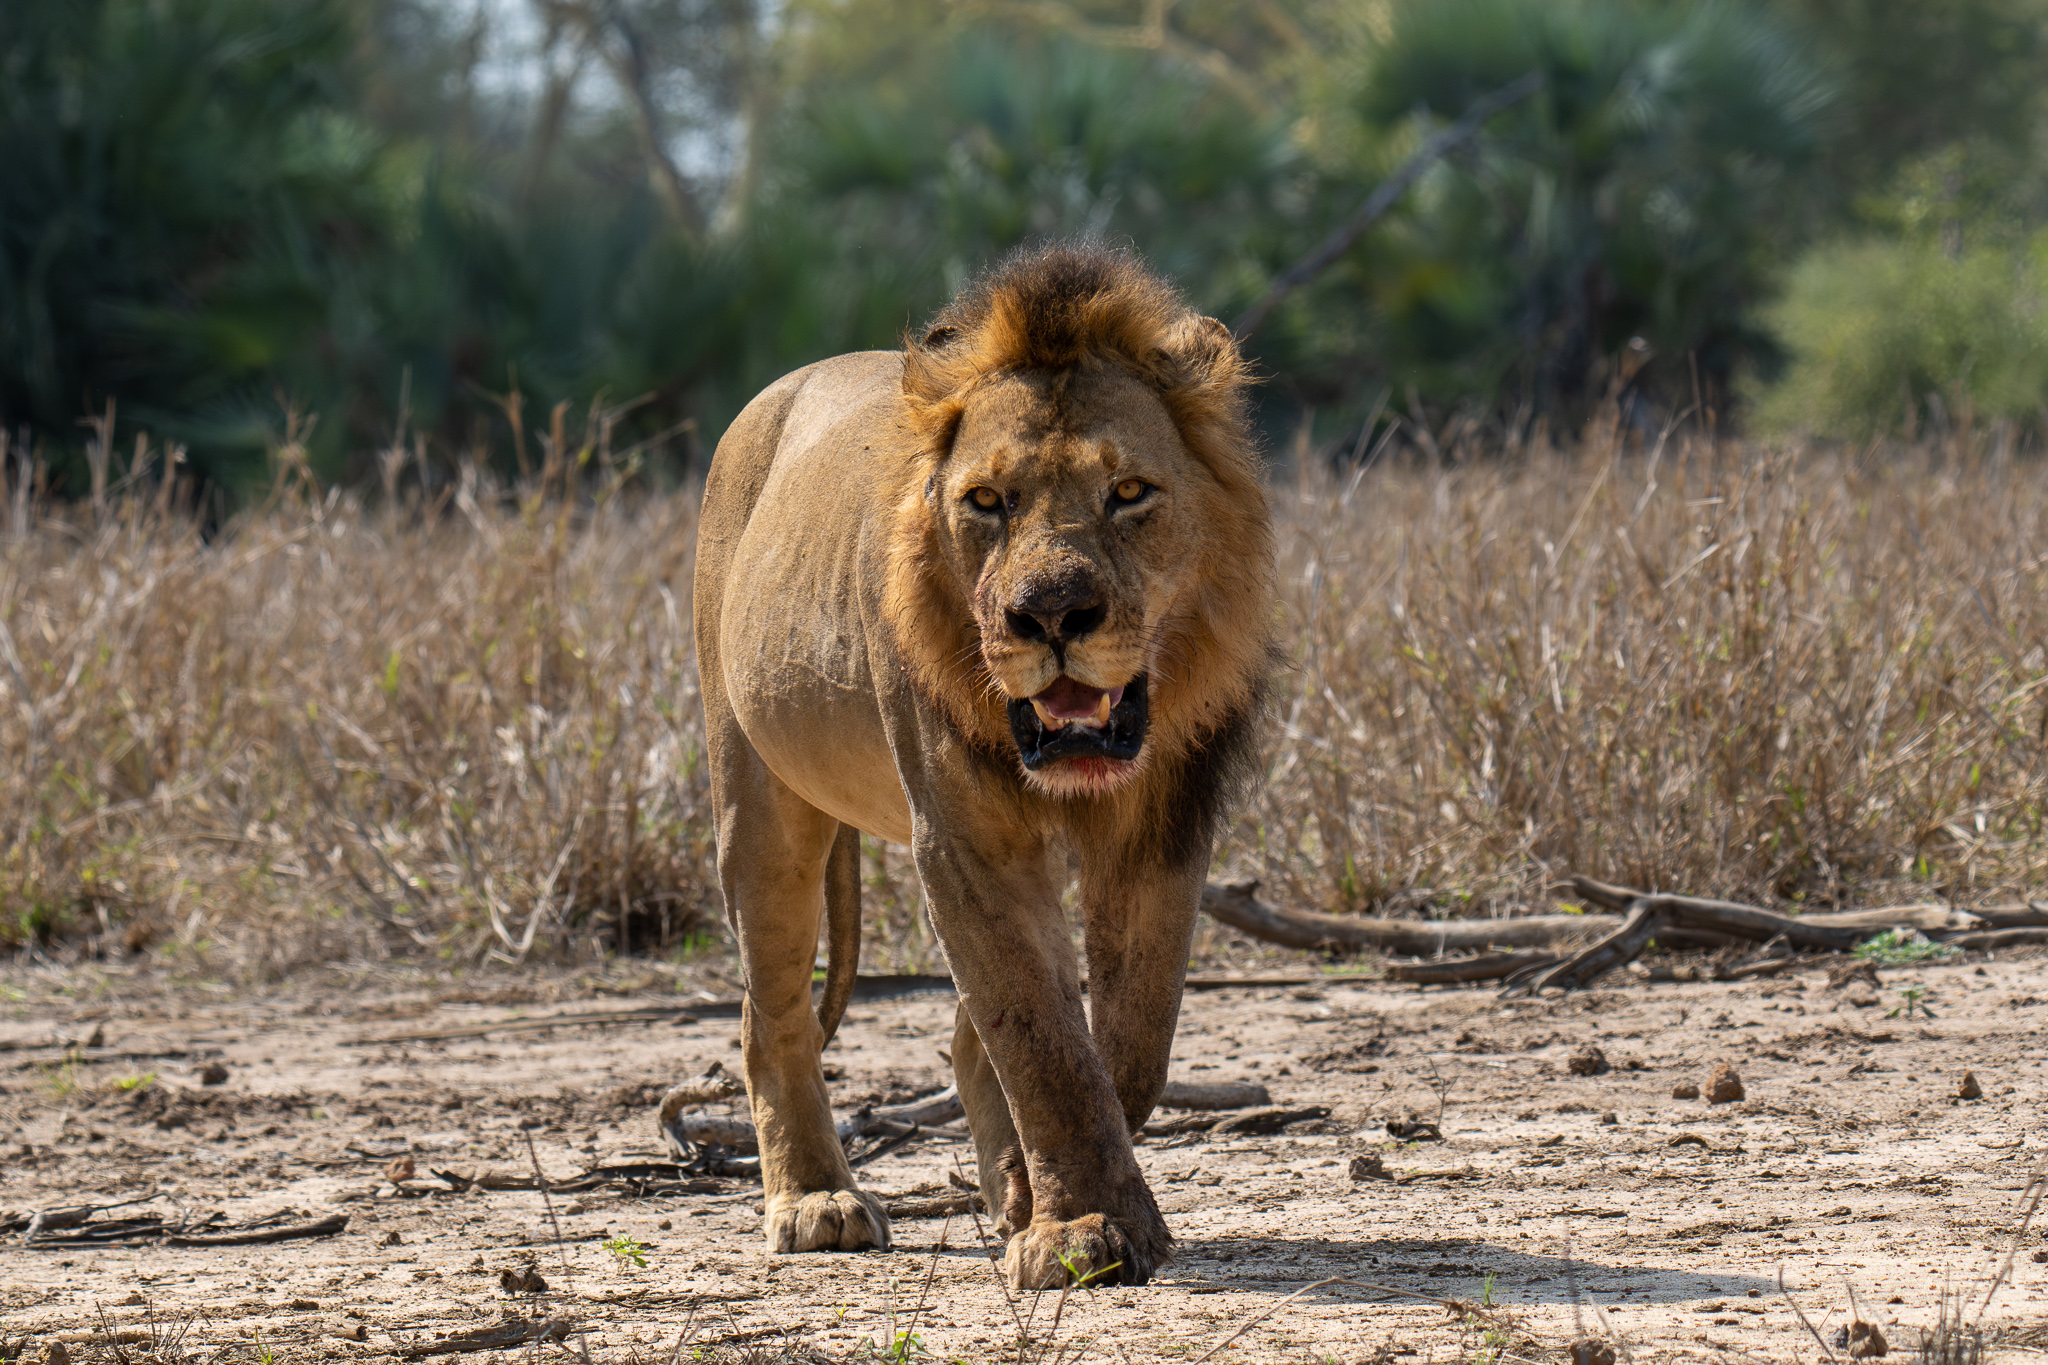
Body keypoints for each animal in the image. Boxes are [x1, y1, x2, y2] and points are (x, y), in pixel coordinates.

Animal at [693, 242, 1275, 1289]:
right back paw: (815, 1200)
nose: (1049, 615)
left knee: (970, 1036)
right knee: (772, 1014)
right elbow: (1042, 1037)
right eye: (987, 502)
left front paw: (1043, 1199)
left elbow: (1125, 1037)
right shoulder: (966, 837)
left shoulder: (1167, 826)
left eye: (1129, 493)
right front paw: (1081, 1227)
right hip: (755, 798)